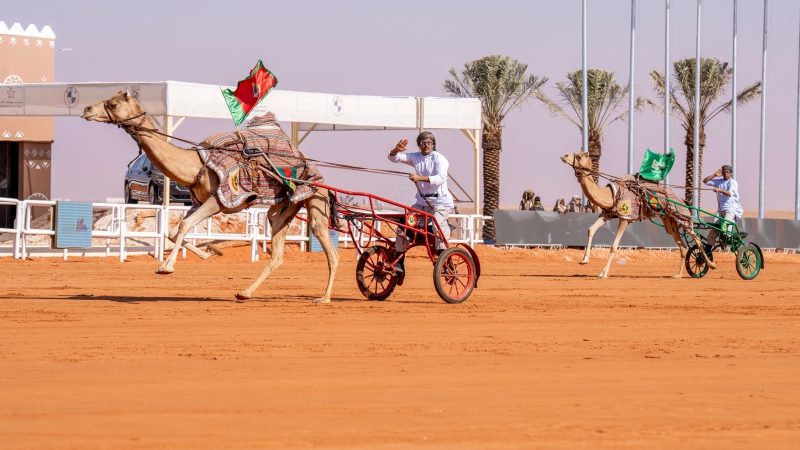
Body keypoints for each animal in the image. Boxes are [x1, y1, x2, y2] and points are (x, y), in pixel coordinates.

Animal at [83, 91, 340, 302]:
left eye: (113, 104)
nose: (86, 109)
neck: (196, 165)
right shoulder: (197, 202)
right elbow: (172, 231)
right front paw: (210, 252)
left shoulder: (220, 199)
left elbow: (183, 225)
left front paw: (165, 267)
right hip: (283, 207)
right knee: (277, 251)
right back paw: (244, 293)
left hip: (315, 198)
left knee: (327, 244)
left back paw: (324, 298)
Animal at [560, 151, 716, 278]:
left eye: (579, 156)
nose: (564, 156)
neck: (611, 195)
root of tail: (682, 199)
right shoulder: (608, 214)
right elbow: (590, 229)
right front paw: (584, 260)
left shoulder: (625, 217)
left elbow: (614, 246)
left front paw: (603, 273)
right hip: (668, 219)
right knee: (682, 246)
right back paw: (678, 275)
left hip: (680, 213)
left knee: (696, 237)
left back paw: (710, 264)